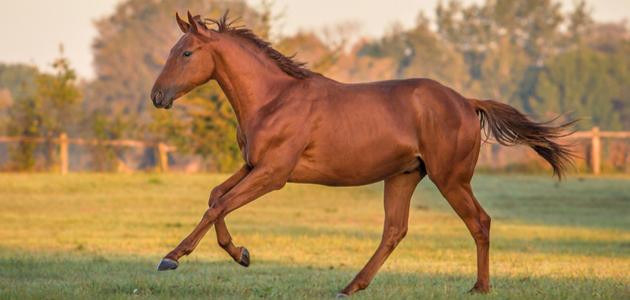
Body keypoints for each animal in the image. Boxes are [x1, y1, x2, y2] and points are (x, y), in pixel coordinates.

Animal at [151, 10, 576, 296]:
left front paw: (172, 257)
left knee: (479, 222)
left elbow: (218, 206)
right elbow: (215, 197)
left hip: (450, 179)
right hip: (403, 176)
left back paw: (480, 287)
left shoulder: (273, 174)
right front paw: (240, 253)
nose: (157, 96)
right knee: (395, 230)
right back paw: (351, 286)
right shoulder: (253, 166)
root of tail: (467, 103)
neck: (275, 99)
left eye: (186, 53)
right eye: (173, 49)